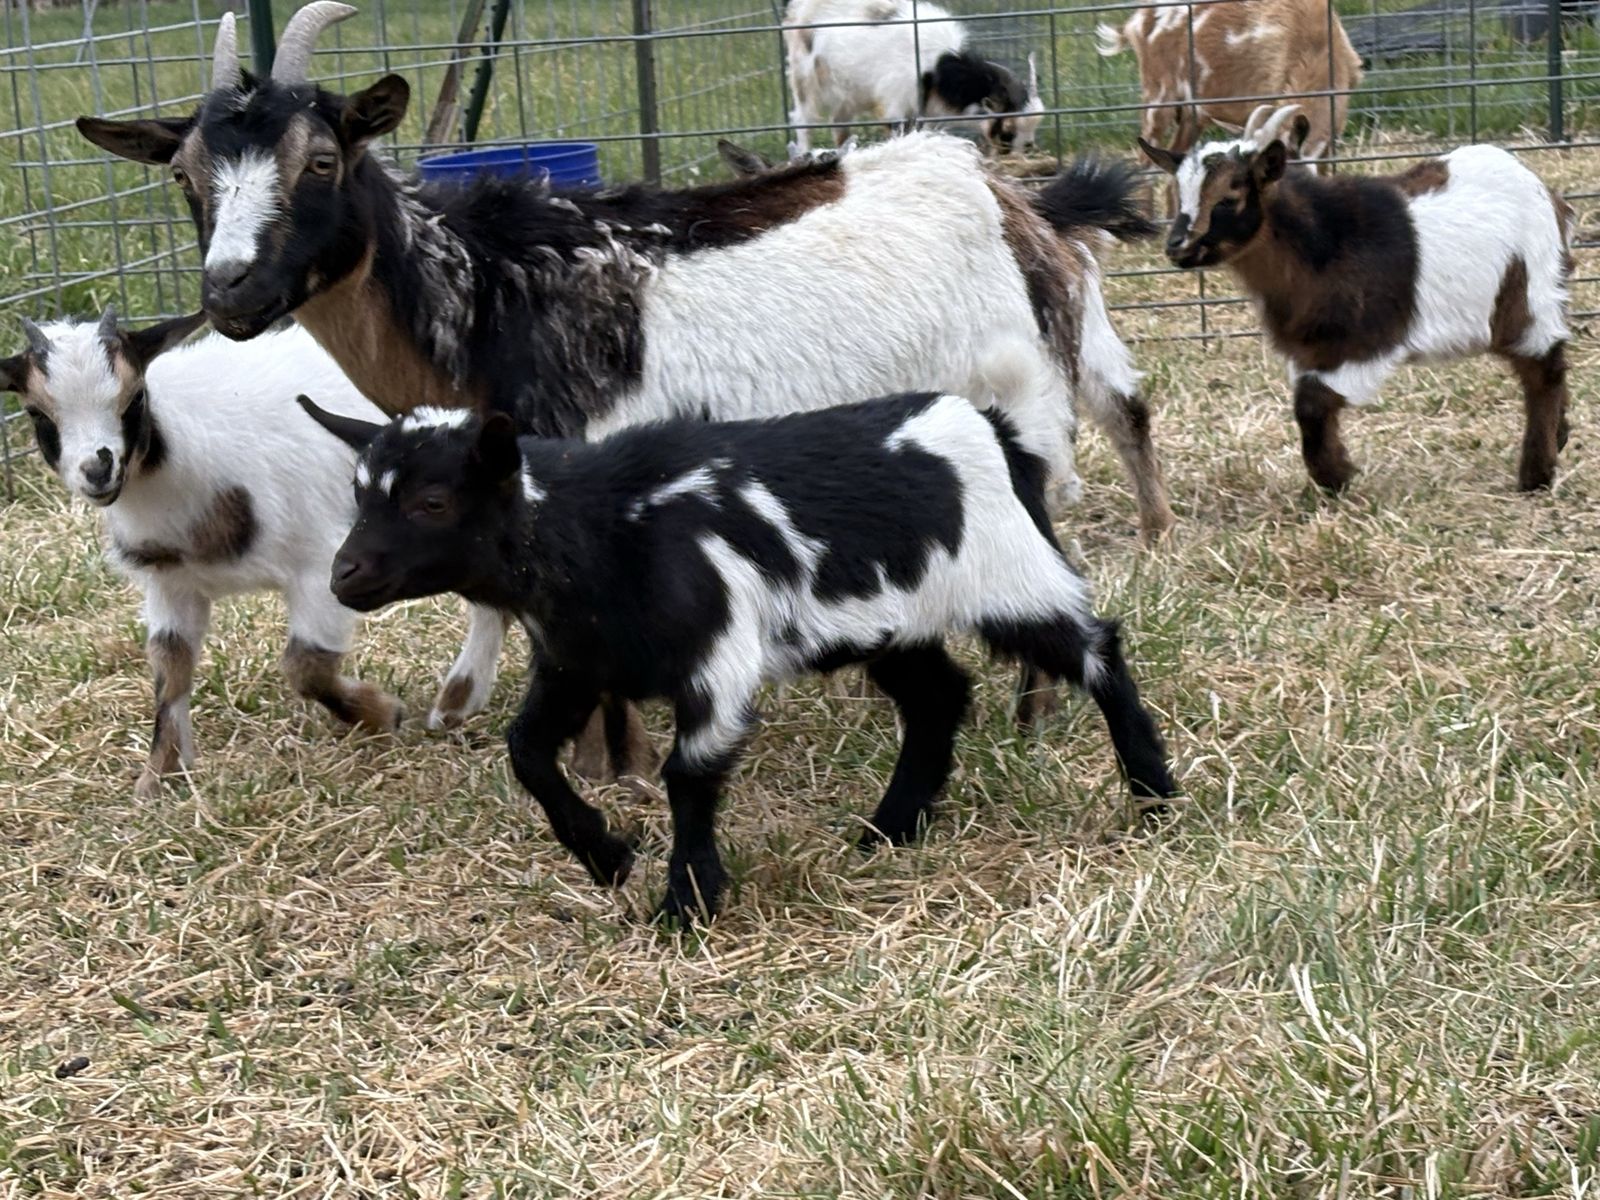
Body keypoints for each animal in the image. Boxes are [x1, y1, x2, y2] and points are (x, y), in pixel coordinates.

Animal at [0, 312, 473, 797]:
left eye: (135, 397)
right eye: (36, 412)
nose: (98, 471)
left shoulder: (323, 565)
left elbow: (305, 668)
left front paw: (383, 713)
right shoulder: (172, 585)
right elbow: (170, 671)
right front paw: (158, 777)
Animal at [296, 376, 1177, 924]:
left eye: (433, 502)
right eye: (358, 494)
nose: (345, 575)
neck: (602, 527)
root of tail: (992, 429)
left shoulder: (716, 660)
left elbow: (688, 773)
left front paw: (687, 904)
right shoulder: (578, 662)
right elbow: (526, 752)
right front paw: (608, 856)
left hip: (1011, 580)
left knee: (1096, 648)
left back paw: (1153, 791)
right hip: (892, 623)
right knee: (938, 695)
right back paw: (889, 829)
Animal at [784, 0, 1044, 155]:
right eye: (1008, 130)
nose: (1027, 150)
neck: (939, 68)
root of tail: (798, 9)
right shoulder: (896, 100)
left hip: (847, 94)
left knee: (840, 125)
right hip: (805, 77)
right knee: (803, 120)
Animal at [1142, 104, 1575, 493]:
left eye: (1229, 198)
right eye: (1180, 193)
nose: (1176, 246)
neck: (1324, 240)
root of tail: (1547, 194)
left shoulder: (1363, 344)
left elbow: (1312, 404)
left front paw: (1335, 477)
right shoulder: (1309, 350)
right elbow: (1311, 406)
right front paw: (1335, 477)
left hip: (1529, 293)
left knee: (1544, 367)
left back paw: (1536, 474)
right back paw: (1560, 437)